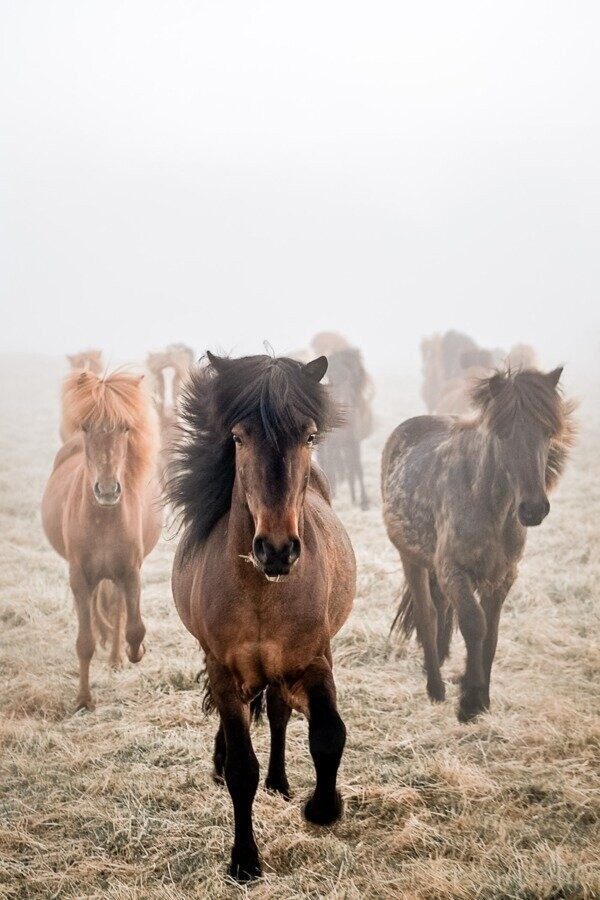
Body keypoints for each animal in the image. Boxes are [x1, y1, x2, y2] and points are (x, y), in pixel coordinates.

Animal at [42, 370, 162, 712]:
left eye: (125, 427)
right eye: (86, 426)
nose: (107, 490)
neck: (105, 519)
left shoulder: (130, 572)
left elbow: (134, 627)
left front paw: (135, 652)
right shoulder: (79, 575)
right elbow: (84, 643)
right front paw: (83, 700)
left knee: (119, 610)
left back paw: (117, 656)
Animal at [168, 352, 356, 880]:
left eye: (309, 436)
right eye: (238, 437)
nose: (275, 550)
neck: (260, 593)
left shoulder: (313, 660)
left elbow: (328, 733)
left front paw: (322, 807)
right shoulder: (224, 670)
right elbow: (240, 768)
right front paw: (245, 860)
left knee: (277, 713)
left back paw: (280, 783)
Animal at [382, 366, 576, 724]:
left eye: (547, 432)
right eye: (503, 434)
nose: (533, 509)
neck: (487, 504)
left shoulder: (502, 577)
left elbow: (492, 633)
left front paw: (481, 697)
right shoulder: (454, 571)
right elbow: (475, 624)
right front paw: (469, 702)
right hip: (410, 558)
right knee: (427, 613)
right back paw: (435, 687)